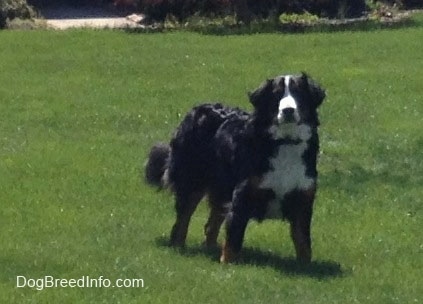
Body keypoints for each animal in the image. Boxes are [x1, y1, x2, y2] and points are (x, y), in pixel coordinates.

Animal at [147, 73, 328, 264]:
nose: (288, 111)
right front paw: (228, 264)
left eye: (299, 92)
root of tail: (196, 108)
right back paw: (178, 247)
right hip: (192, 181)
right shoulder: (243, 194)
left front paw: (305, 266)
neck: (285, 142)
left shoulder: (303, 199)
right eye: (277, 94)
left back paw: (210, 248)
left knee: (211, 225)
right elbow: (234, 236)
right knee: (182, 220)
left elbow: (304, 243)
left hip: (221, 187)